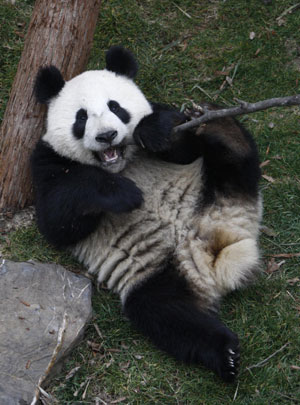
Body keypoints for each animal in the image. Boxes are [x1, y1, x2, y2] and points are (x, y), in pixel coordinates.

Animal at [29, 45, 262, 382]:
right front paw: (123, 194)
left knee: (236, 158)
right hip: (157, 271)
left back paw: (219, 126)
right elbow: (57, 219)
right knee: (167, 315)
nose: (107, 135)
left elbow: (179, 143)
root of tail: (212, 252)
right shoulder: (46, 159)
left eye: (116, 107)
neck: (119, 163)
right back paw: (225, 353)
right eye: (81, 117)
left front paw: (153, 131)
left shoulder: (164, 122)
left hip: (215, 189)